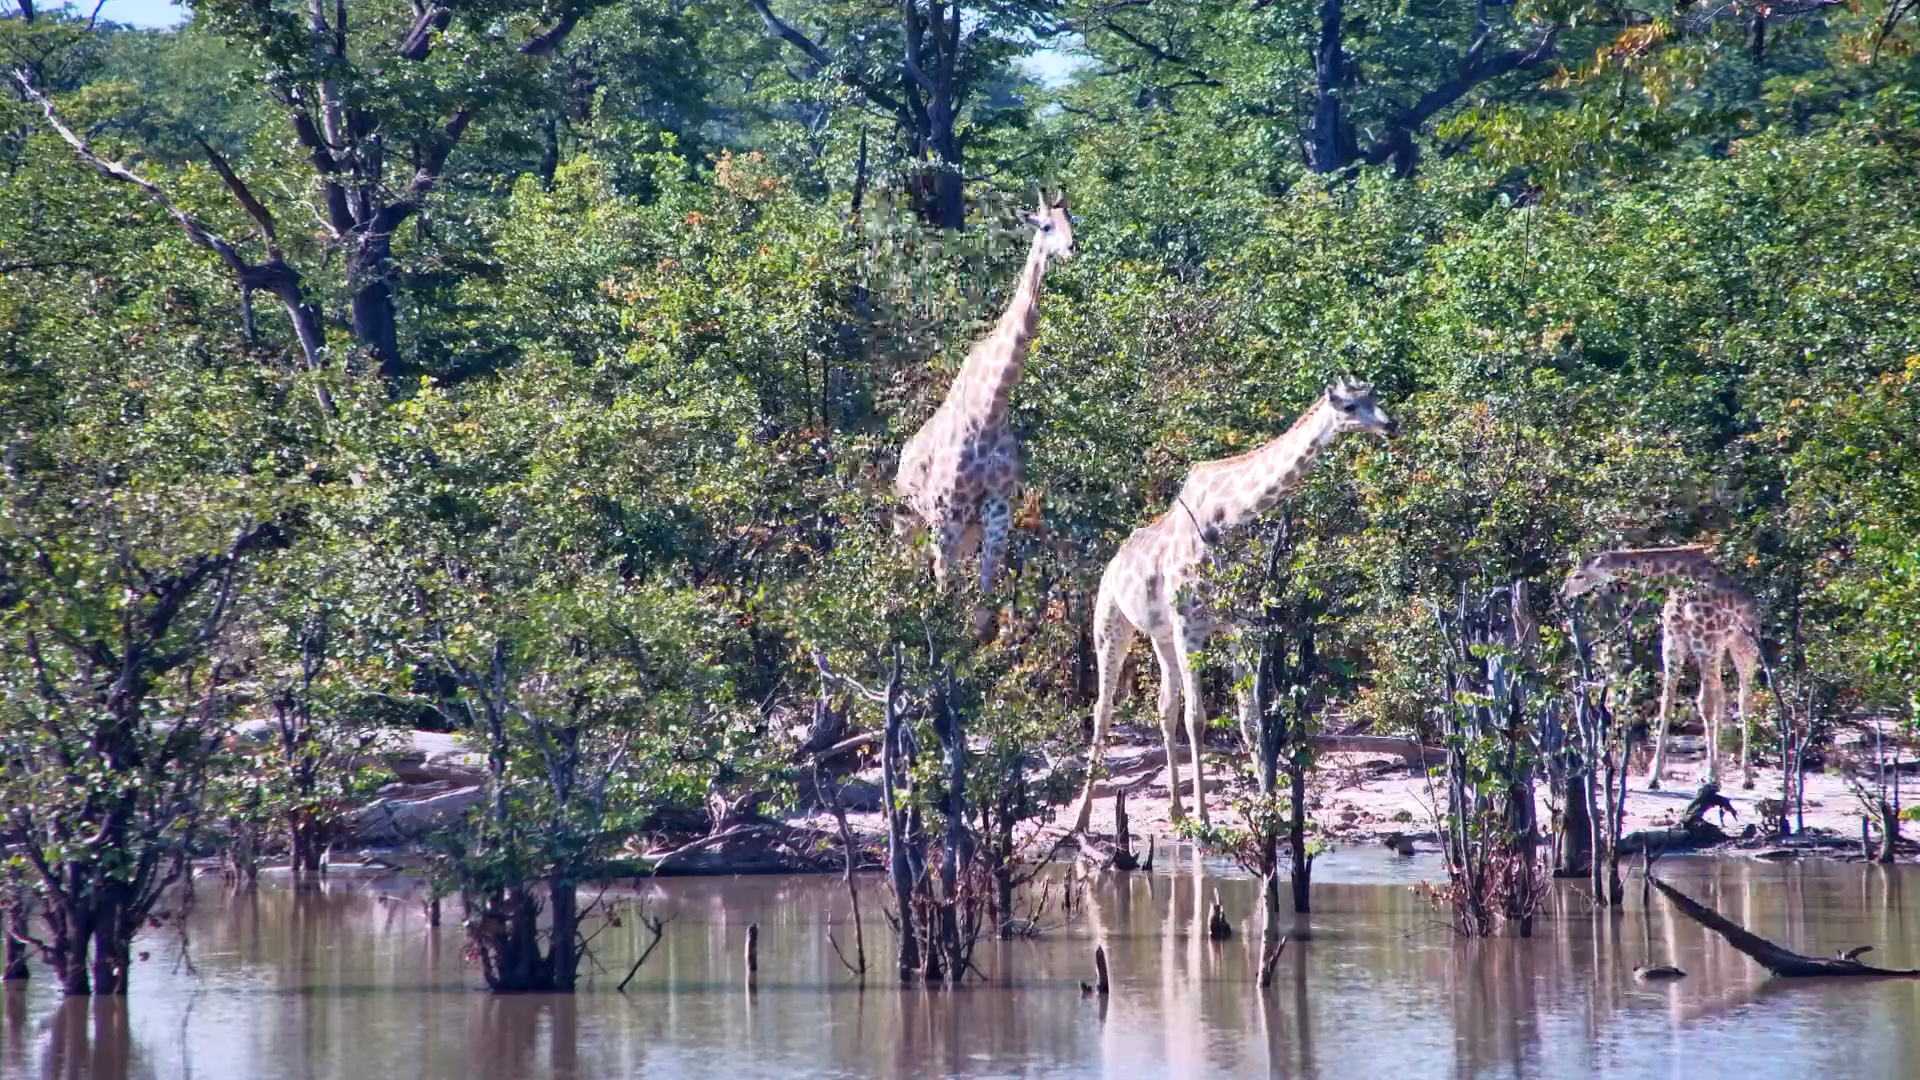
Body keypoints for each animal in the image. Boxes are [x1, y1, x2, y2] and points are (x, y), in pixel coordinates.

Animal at [894, 195, 1075, 597]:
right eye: (1045, 226)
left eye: (1071, 221)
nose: (1072, 248)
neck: (990, 410)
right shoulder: (946, 512)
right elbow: (944, 585)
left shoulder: (996, 510)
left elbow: (987, 588)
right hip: (911, 521)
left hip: (965, 529)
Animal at [1069, 382, 1397, 831]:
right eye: (1349, 406)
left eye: (1374, 398)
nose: (1390, 425)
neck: (1227, 517)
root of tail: (1113, 562)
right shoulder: (1191, 625)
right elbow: (1198, 718)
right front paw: (1204, 820)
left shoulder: (1240, 624)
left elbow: (1249, 718)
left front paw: (1268, 808)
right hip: (1111, 623)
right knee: (1102, 711)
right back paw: (1082, 816)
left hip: (1161, 636)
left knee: (1164, 707)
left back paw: (1174, 808)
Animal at [1561, 545, 1763, 790]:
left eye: (1578, 575)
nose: (1562, 592)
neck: (1681, 580)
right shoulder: (1674, 644)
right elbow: (1666, 703)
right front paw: (1654, 776)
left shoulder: (1703, 643)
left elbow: (1704, 705)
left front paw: (1712, 777)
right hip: (1718, 649)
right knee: (1721, 697)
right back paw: (1717, 770)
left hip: (1743, 646)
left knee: (1743, 701)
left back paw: (1746, 776)